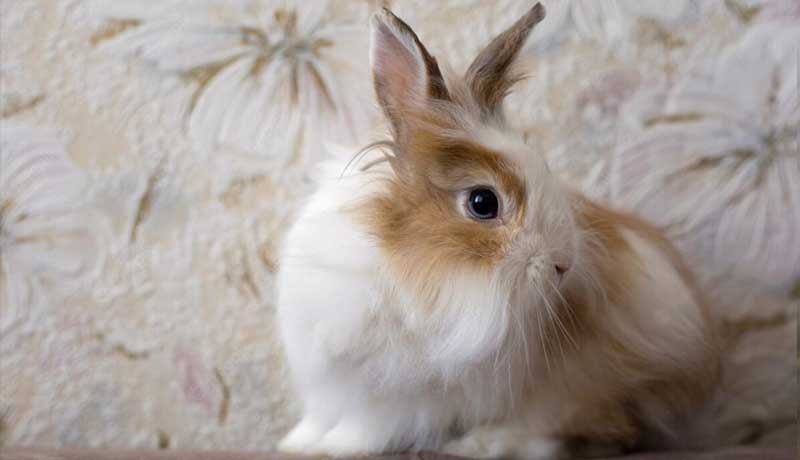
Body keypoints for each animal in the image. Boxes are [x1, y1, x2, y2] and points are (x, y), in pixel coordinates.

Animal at [276, 3, 720, 458]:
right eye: (483, 203)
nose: (564, 264)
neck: (396, 262)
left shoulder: (393, 396)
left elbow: (366, 427)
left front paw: (334, 446)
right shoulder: (334, 380)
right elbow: (324, 416)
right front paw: (299, 441)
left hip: (575, 387)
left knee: (594, 433)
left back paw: (485, 442)